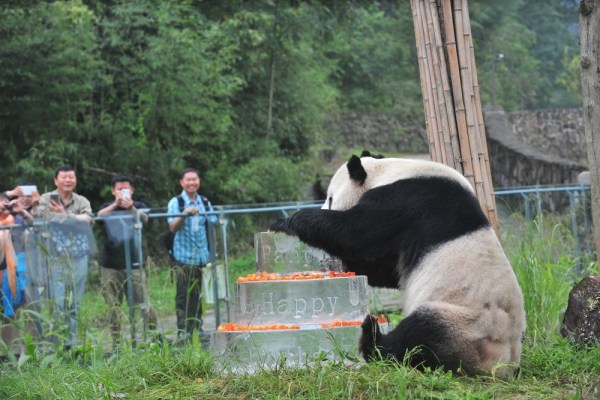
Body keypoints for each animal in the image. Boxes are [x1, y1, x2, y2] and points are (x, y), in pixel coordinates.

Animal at [268, 152, 524, 376]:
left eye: (330, 198)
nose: (325, 204)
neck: (389, 171)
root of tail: (503, 365)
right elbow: (388, 270)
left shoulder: (406, 201)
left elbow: (356, 233)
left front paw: (289, 221)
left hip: (467, 326)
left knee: (419, 333)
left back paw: (371, 338)